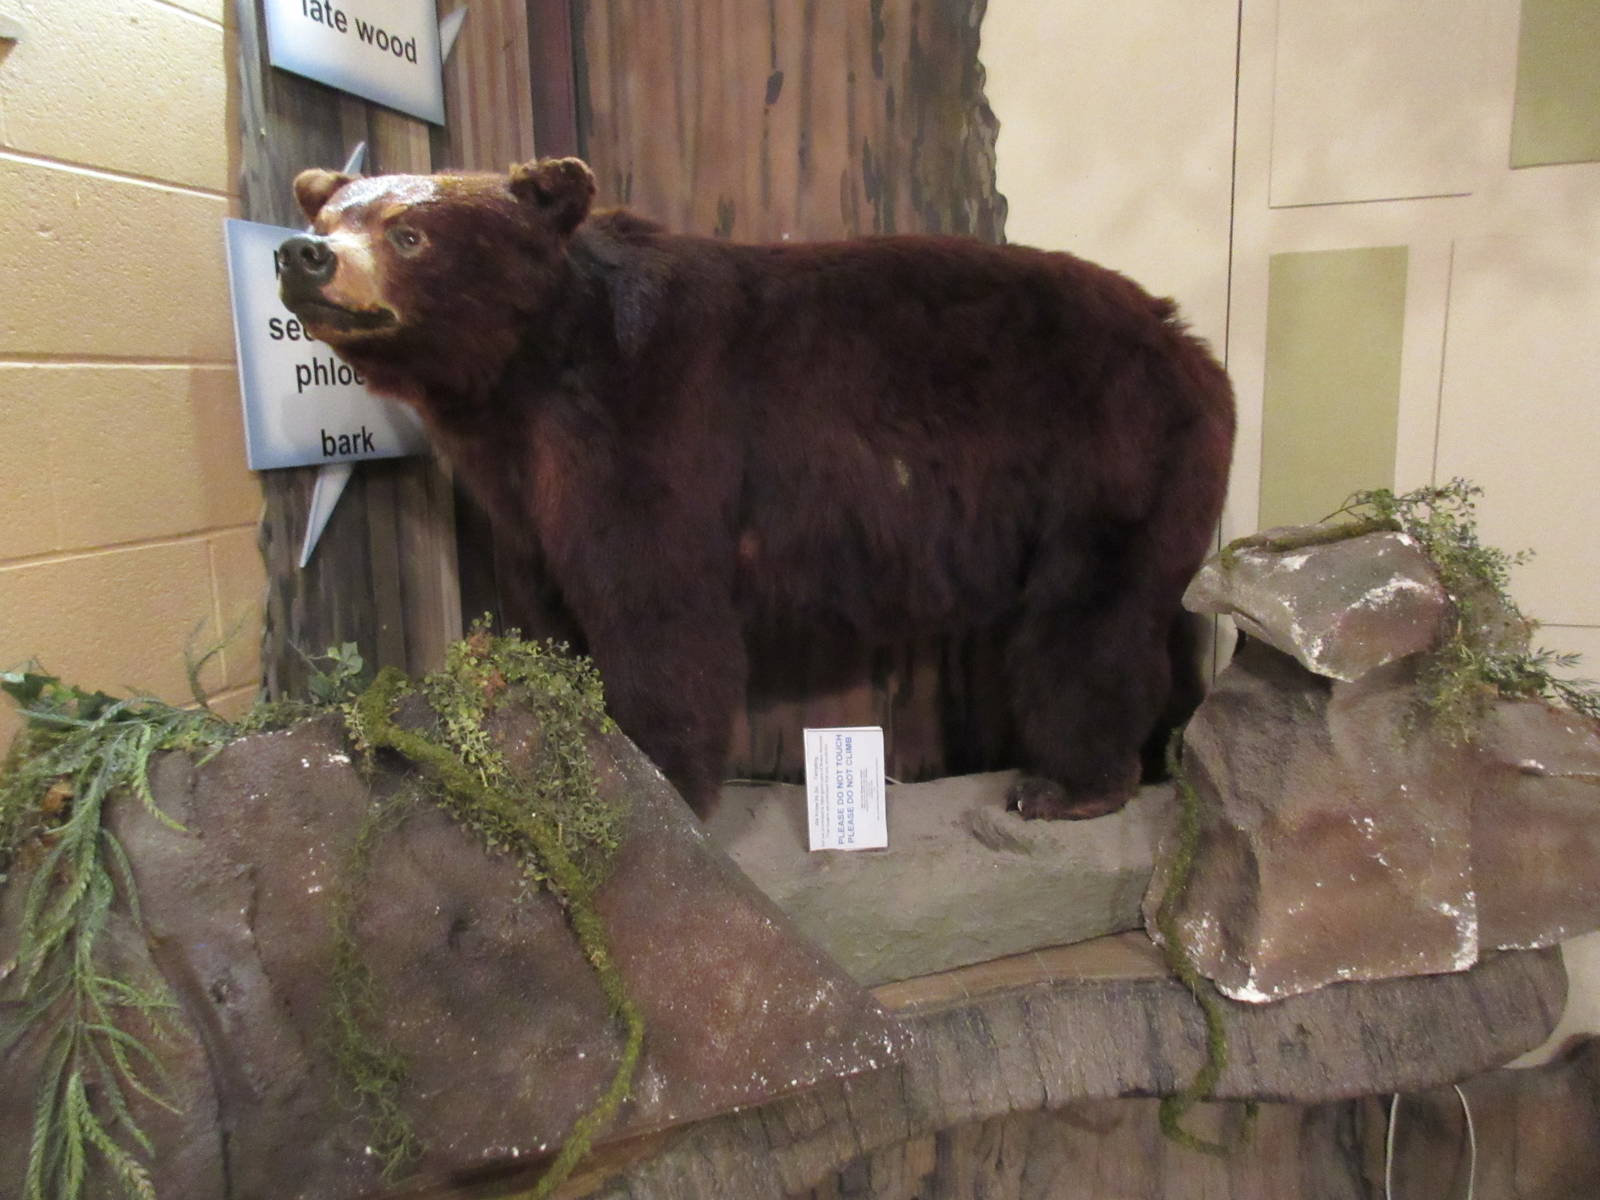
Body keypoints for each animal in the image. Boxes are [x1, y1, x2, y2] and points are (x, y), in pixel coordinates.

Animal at [277, 157, 1235, 820]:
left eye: (408, 232)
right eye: (330, 210)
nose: (302, 254)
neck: (535, 366)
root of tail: (1195, 349)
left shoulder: (648, 418)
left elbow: (657, 607)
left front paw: (660, 776)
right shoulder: (526, 482)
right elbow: (553, 601)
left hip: (1109, 458)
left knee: (1089, 622)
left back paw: (1070, 785)